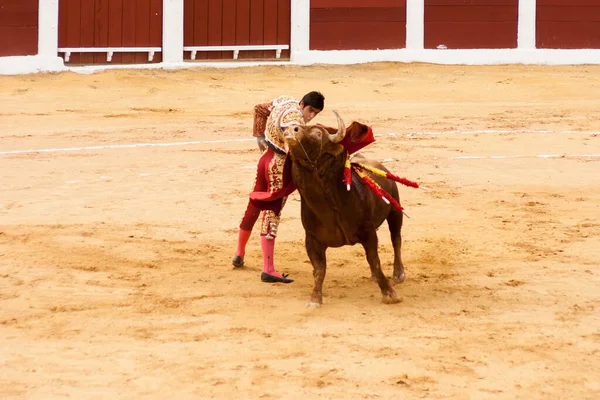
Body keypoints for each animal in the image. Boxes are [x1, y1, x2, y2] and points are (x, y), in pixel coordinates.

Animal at [278, 111, 406, 308]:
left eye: (318, 133)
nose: (292, 129)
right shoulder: (312, 239)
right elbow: (319, 269)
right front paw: (314, 300)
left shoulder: (368, 232)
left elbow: (374, 261)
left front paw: (389, 294)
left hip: (395, 211)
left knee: (396, 239)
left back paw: (398, 273)